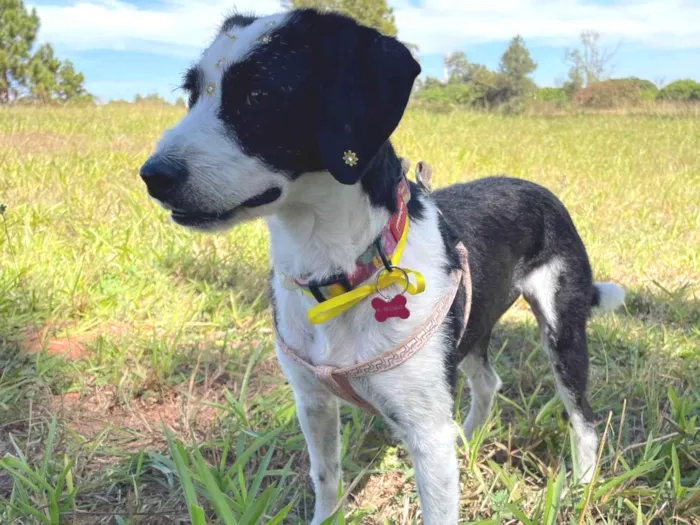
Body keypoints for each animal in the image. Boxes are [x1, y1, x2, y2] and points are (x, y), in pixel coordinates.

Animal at [139, 9, 628, 524]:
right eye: (192, 93)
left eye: (259, 95)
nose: (152, 176)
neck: (340, 275)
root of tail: (539, 190)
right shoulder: (312, 402)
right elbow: (326, 478)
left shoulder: (426, 431)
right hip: (473, 326)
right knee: (488, 381)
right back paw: (470, 438)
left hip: (562, 332)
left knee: (583, 418)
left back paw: (581, 487)